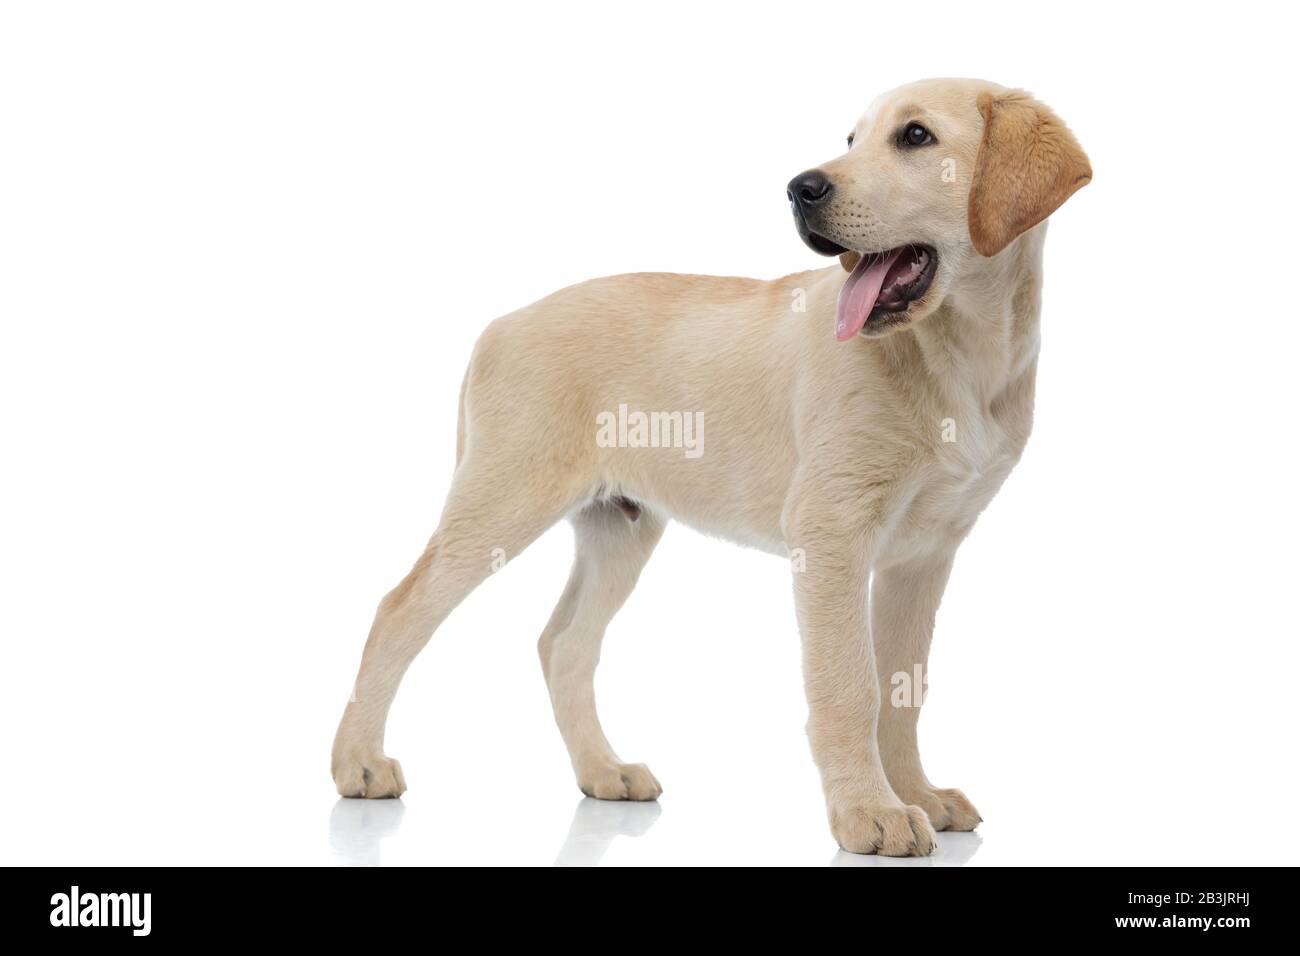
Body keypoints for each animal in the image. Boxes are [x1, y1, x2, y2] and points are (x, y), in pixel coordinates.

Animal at [332, 78, 1086, 858]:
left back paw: (602, 770)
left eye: (915, 137)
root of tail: (499, 324)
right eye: (850, 140)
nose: (800, 188)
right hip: (501, 501)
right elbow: (853, 684)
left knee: (563, 644)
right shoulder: (833, 535)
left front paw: (917, 794)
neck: (958, 355)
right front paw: (868, 812)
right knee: (396, 612)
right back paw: (359, 763)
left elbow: (903, 685)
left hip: (621, 529)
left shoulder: (925, 555)